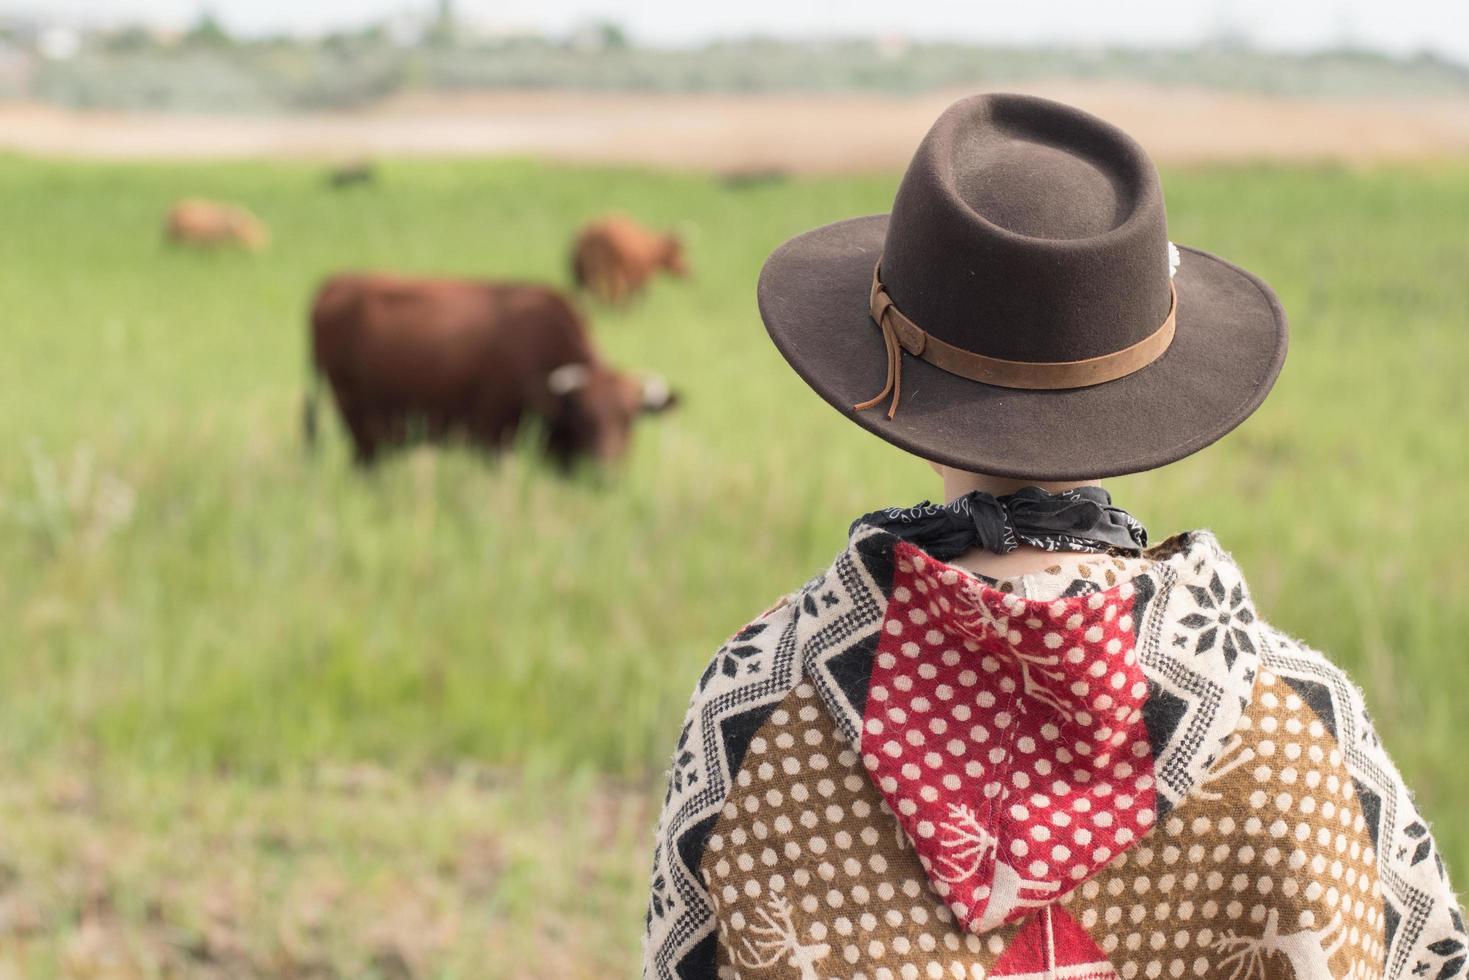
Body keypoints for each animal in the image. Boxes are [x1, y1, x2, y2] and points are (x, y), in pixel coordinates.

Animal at [309, 270, 681, 467]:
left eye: (629, 418)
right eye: (585, 417)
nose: (605, 474)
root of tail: (336, 283)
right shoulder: (492, 440)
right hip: (364, 429)